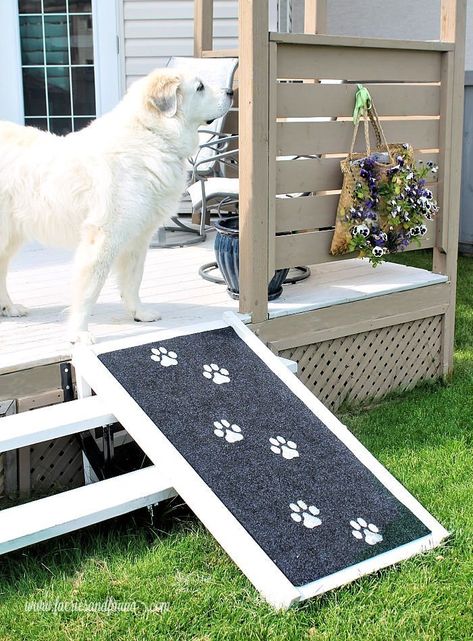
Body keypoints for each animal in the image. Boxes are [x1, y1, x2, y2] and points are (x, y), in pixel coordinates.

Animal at [0, 67, 232, 342]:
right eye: (200, 87)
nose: (231, 92)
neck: (152, 134)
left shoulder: (137, 238)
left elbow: (133, 280)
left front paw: (139, 313)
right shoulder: (103, 239)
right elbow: (89, 291)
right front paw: (79, 333)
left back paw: (9, 308)